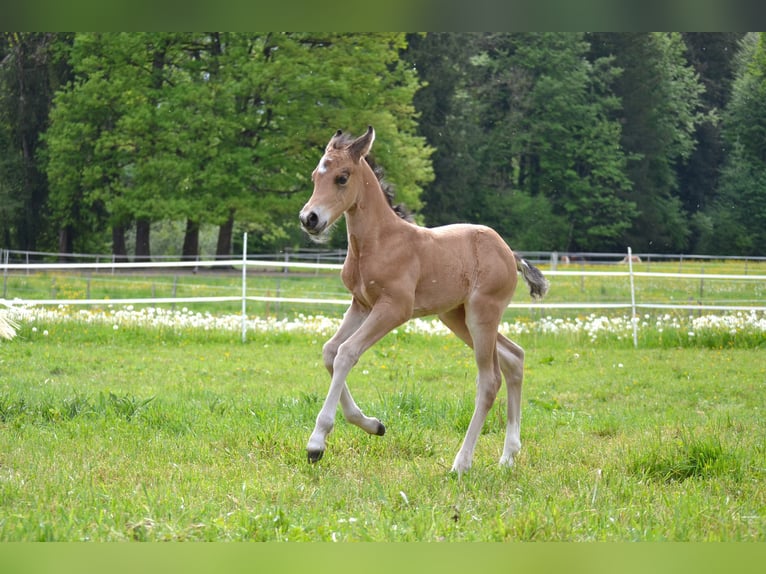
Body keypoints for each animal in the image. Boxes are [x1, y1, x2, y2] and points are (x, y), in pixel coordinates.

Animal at [299, 126, 549, 473]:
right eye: (315, 176)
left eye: (342, 177)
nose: (309, 218)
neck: (379, 241)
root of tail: (509, 252)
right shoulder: (361, 305)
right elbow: (329, 352)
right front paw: (374, 425)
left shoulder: (394, 308)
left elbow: (346, 353)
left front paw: (316, 443)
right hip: (456, 317)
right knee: (515, 357)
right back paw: (508, 456)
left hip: (482, 314)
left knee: (489, 380)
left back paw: (461, 463)